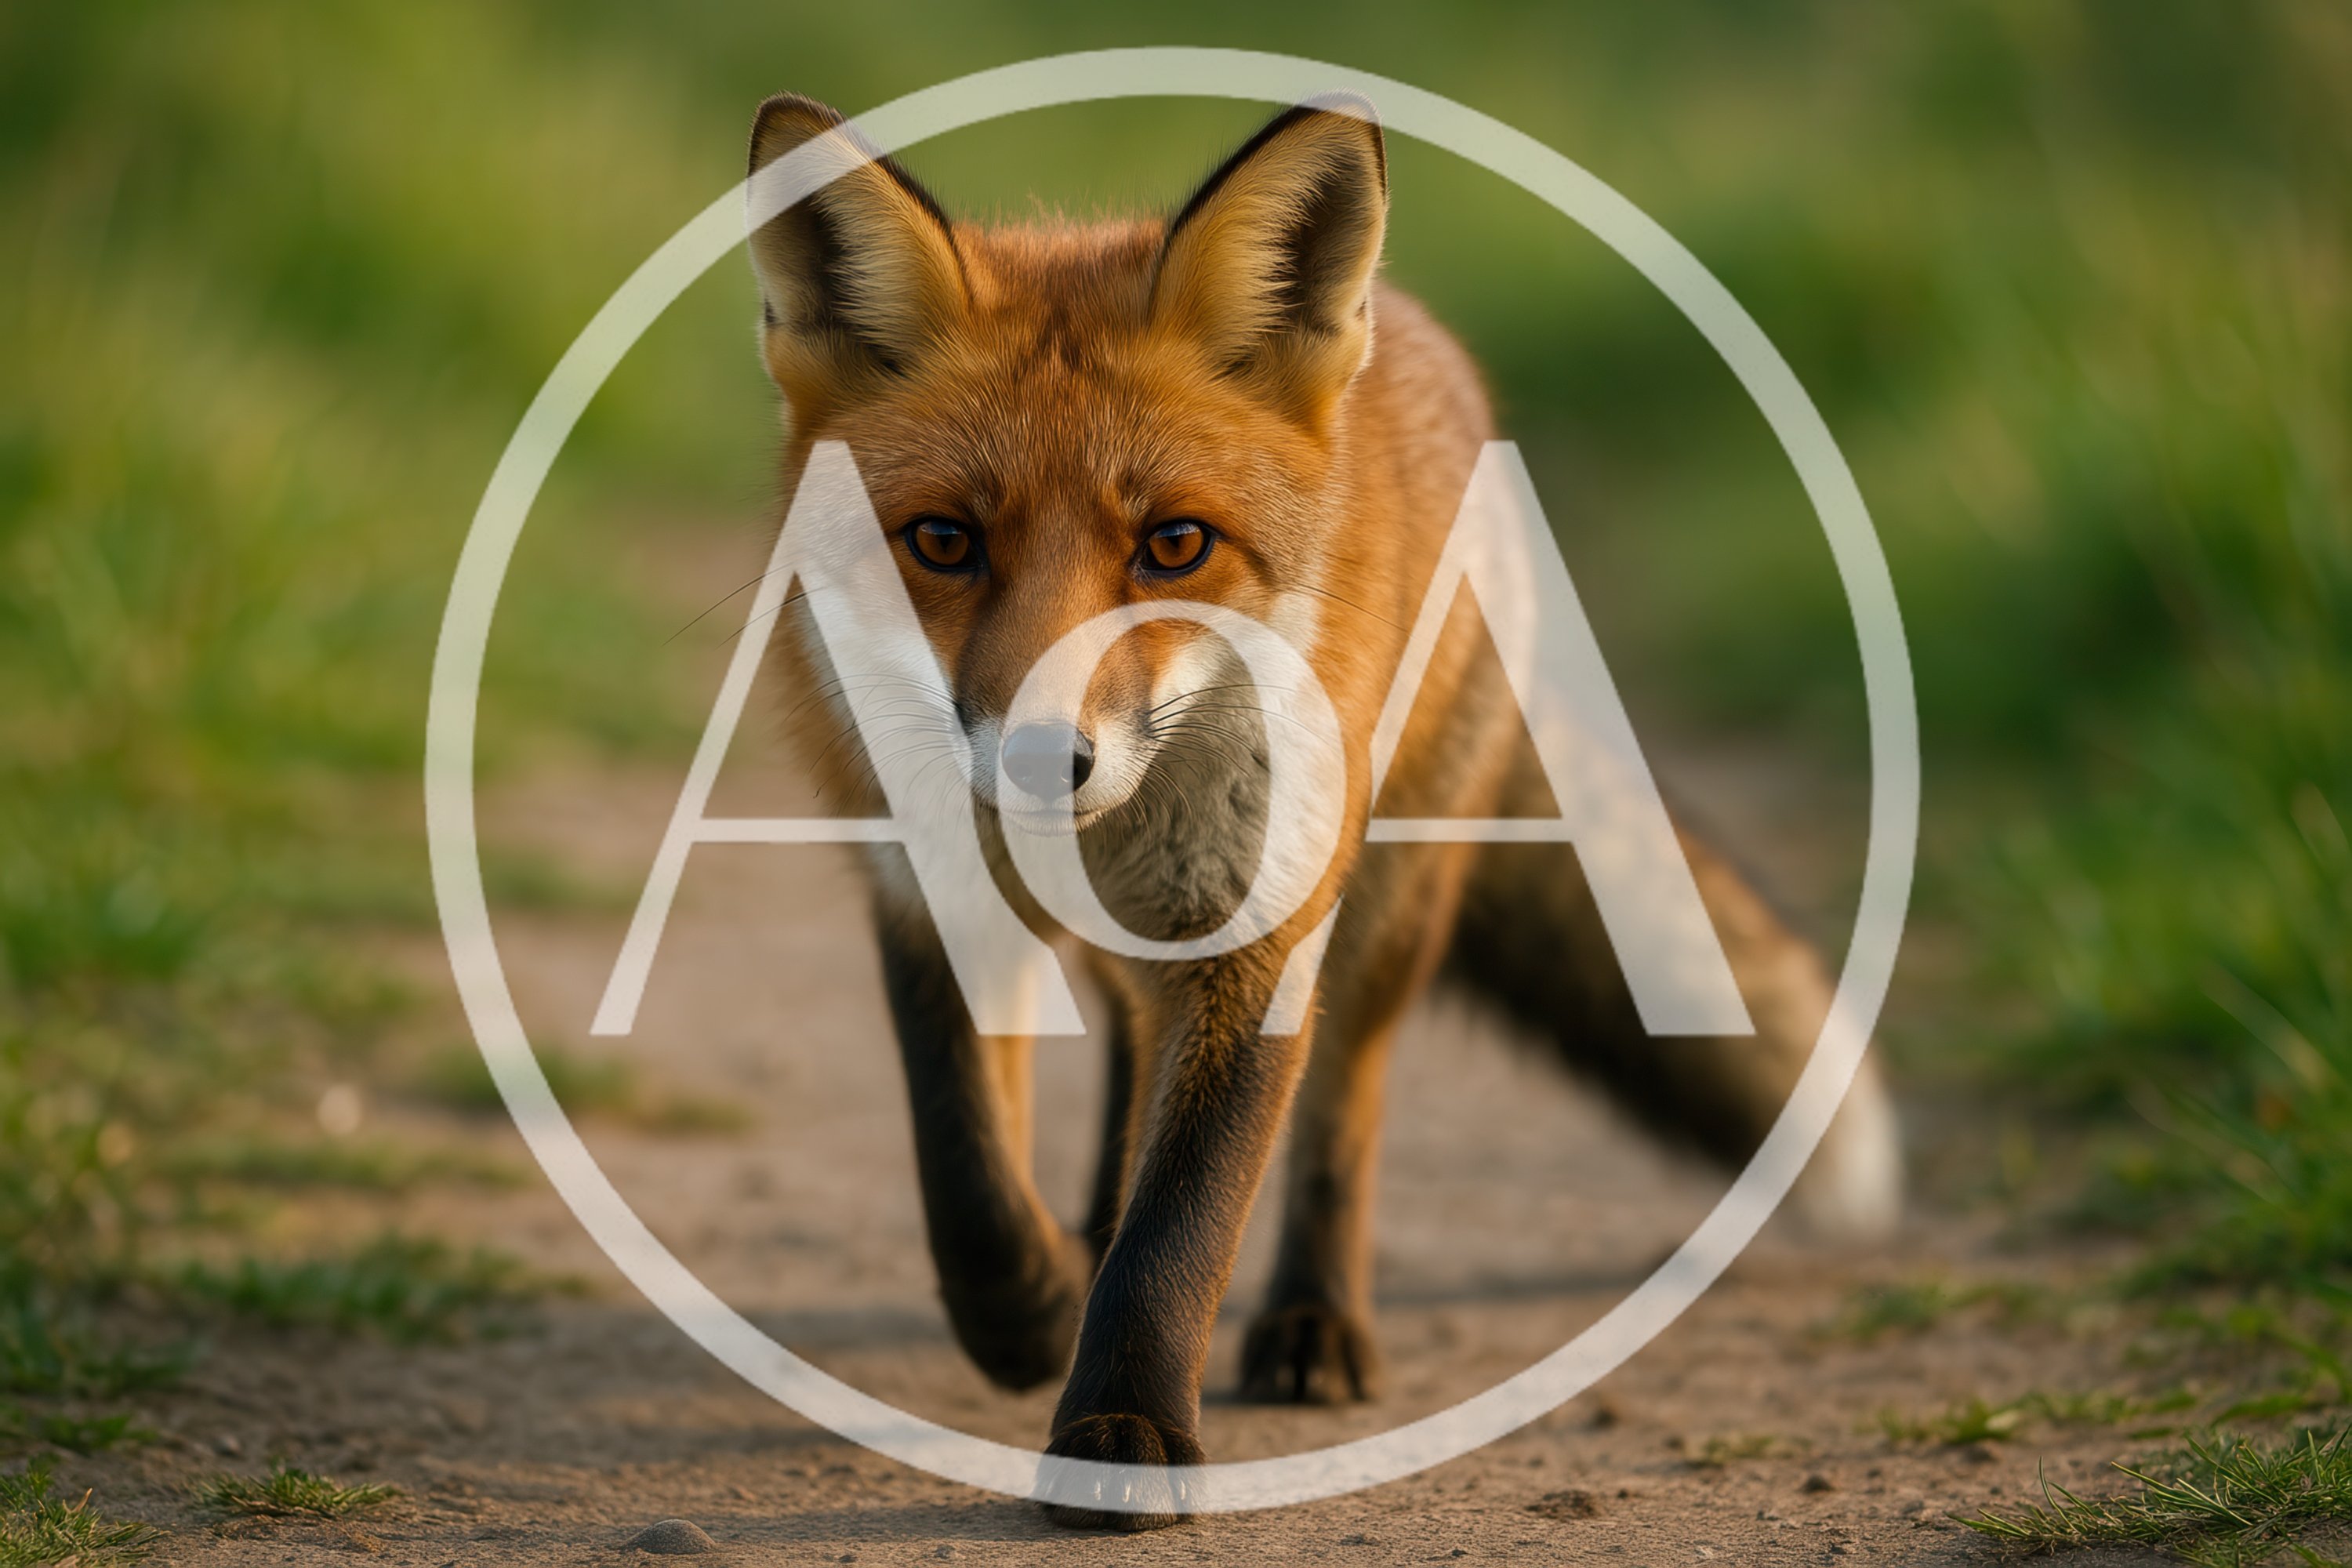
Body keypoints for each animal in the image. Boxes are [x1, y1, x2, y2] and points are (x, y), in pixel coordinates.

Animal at [743, 91, 1901, 1529]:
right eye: (944, 542)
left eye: (1174, 545)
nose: (1042, 760)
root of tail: (1410, 329)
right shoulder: (920, 891)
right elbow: (961, 1158)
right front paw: (1024, 1309)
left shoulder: (1260, 933)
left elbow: (1183, 1221)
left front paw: (1123, 1427)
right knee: (1125, 1065)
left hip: (1390, 906)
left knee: (1343, 1115)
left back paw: (1311, 1322)